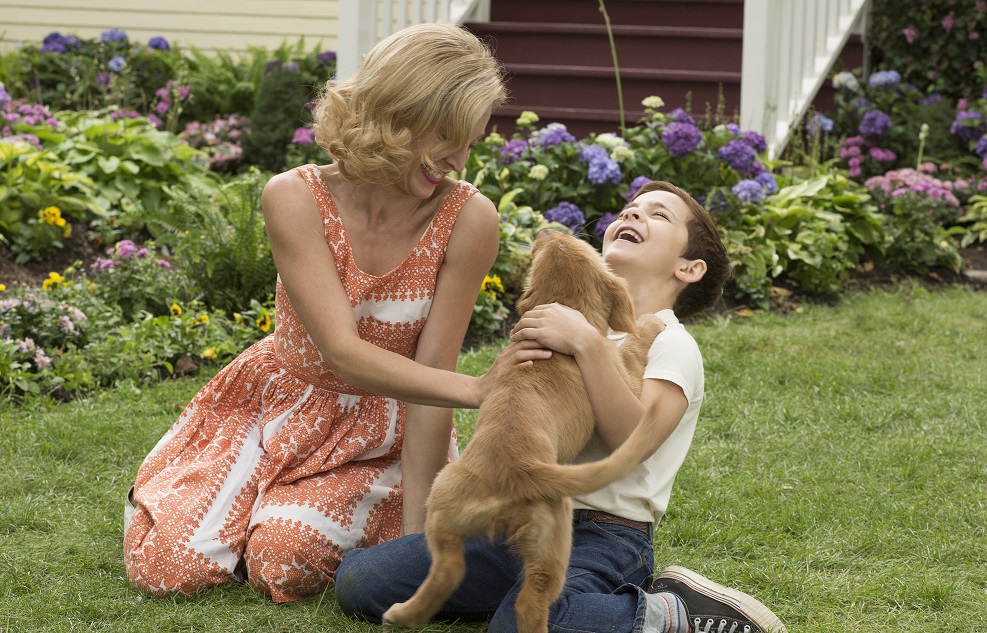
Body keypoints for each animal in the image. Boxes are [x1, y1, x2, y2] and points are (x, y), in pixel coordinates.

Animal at [382, 230, 668, 628]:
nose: (545, 231)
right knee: (529, 603)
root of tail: (516, 469)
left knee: (449, 569)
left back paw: (402, 614)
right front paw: (653, 322)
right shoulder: (623, 374)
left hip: (443, 505)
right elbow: (634, 347)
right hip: (552, 540)